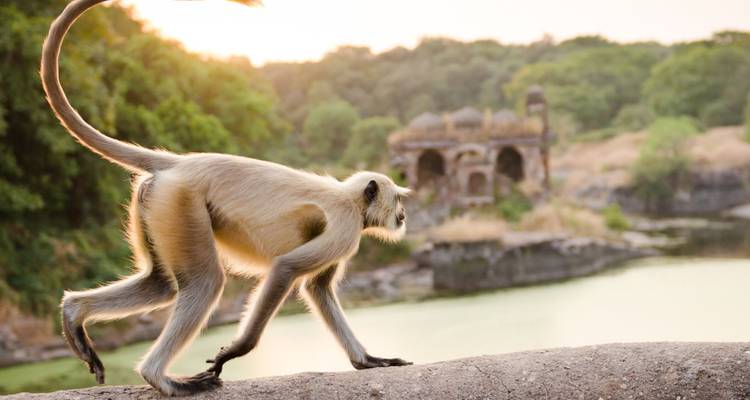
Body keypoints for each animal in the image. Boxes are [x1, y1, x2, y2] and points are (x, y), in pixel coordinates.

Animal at [42, 0, 412, 396]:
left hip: (156, 204)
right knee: (205, 282)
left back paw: (74, 313)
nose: (404, 214)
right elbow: (286, 269)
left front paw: (367, 360)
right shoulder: (346, 226)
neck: (351, 198)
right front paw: (235, 351)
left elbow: (317, 288)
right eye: (398, 200)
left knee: (160, 284)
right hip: (181, 203)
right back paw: (160, 378)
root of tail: (180, 163)